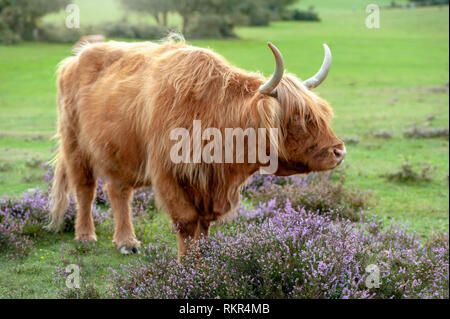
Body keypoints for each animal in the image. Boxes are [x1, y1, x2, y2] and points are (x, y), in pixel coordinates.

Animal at [46, 35, 344, 262]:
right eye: (299, 118)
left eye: (322, 115)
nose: (339, 152)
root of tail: (76, 58)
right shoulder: (168, 174)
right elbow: (187, 222)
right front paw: (186, 265)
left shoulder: (208, 185)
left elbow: (203, 226)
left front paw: (204, 263)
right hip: (75, 145)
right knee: (85, 189)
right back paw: (86, 236)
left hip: (118, 152)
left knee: (119, 192)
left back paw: (126, 241)